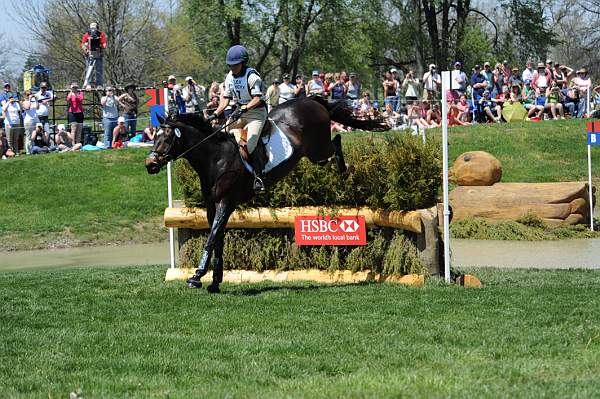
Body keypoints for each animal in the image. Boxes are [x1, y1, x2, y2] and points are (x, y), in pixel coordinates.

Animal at [148, 95, 386, 292]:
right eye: (153, 137)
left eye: (167, 138)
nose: (149, 165)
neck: (216, 158)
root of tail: (310, 99)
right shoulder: (211, 206)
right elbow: (218, 240)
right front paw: (215, 281)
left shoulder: (226, 202)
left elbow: (212, 238)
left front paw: (196, 277)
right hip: (314, 155)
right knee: (330, 151)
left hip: (318, 147)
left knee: (336, 142)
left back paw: (346, 168)